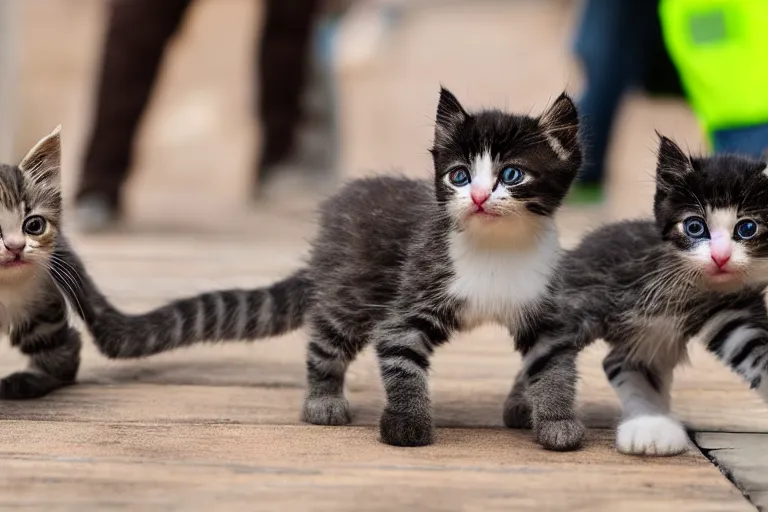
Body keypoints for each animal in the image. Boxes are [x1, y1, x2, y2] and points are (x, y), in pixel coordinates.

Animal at [58, 88, 584, 448]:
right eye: (458, 176)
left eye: (511, 174)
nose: (476, 197)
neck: (497, 248)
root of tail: (326, 239)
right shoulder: (410, 302)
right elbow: (402, 362)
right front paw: (408, 424)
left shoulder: (545, 311)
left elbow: (554, 366)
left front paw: (556, 421)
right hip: (353, 288)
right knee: (325, 339)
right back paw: (323, 399)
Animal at [504, 134, 768, 454]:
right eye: (694, 226)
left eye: (747, 228)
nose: (721, 257)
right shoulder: (640, 321)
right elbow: (629, 371)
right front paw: (651, 428)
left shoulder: (735, 311)